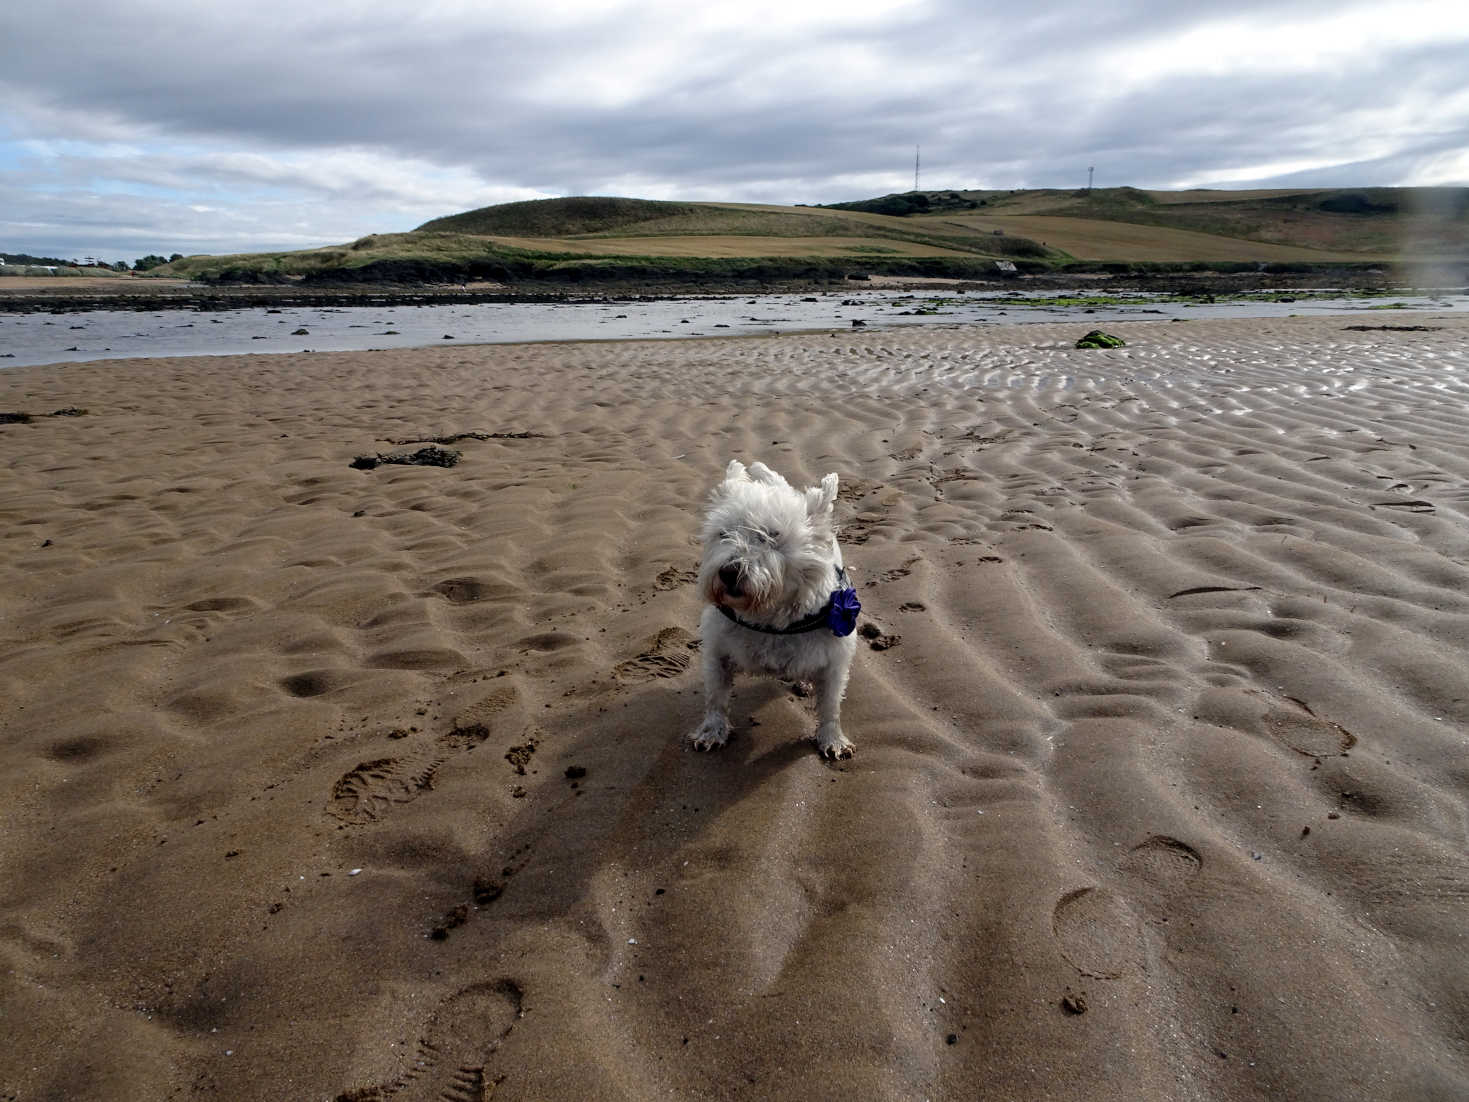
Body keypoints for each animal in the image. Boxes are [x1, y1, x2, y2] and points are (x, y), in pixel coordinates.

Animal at [687, 458, 857, 758]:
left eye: (772, 535)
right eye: (723, 533)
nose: (729, 572)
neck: (768, 616)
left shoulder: (835, 660)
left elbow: (830, 705)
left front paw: (833, 739)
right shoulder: (717, 651)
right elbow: (716, 697)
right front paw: (712, 732)